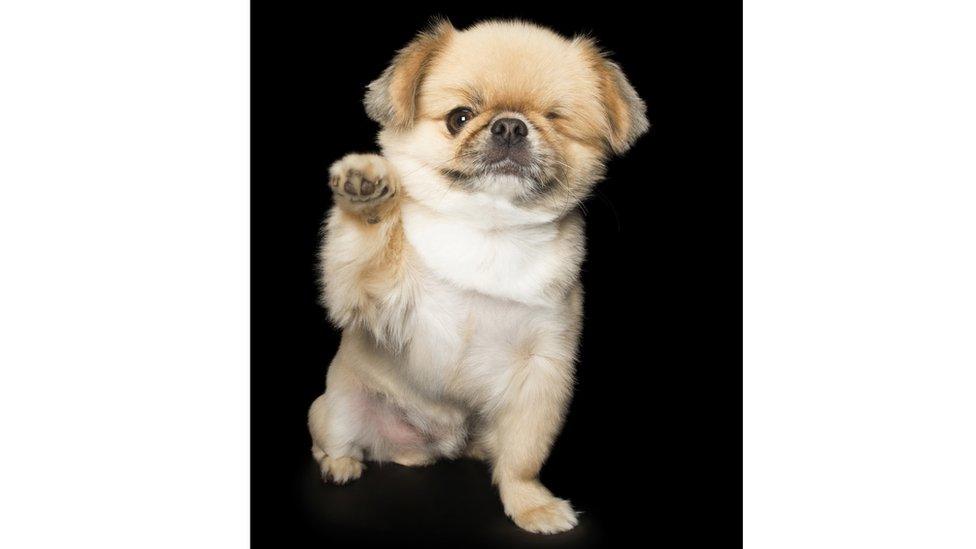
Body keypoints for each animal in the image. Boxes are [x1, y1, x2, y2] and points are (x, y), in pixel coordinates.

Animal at [308, 18, 648, 532]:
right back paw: (341, 464)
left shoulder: (542, 372)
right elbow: (365, 243)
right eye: (460, 118)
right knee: (331, 441)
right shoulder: (376, 296)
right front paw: (367, 189)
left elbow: (523, 458)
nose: (509, 124)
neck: (489, 231)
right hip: (335, 410)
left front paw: (530, 504)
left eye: (555, 119)